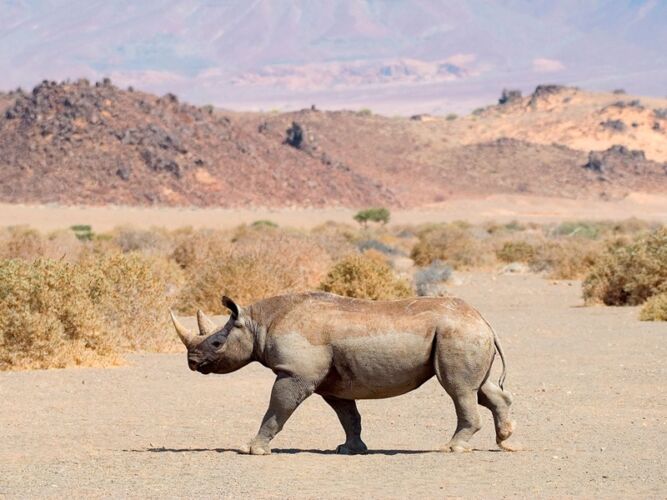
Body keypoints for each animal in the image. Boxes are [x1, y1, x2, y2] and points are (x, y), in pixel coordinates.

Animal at [170, 292, 516, 455]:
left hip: (457, 334)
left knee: (458, 389)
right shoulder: (332, 383)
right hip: (463, 333)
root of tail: (482, 319)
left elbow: (277, 409)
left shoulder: (294, 373)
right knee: (481, 389)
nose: (192, 361)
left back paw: (451, 448)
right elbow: (348, 416)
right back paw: (506, 441)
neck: (258, 324)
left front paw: (252, 449)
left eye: (217, 343)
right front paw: (350, 449)